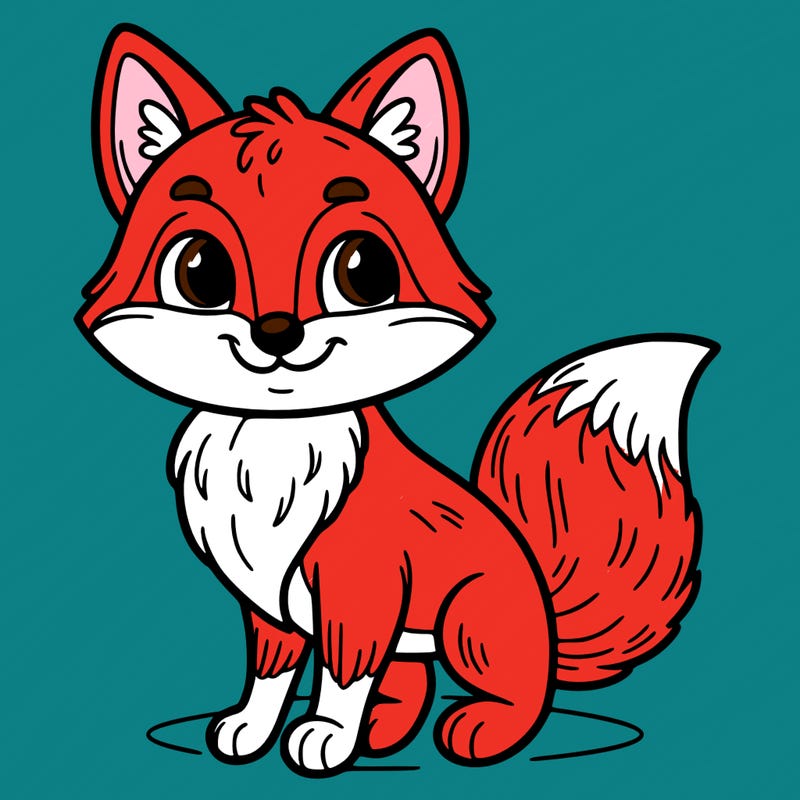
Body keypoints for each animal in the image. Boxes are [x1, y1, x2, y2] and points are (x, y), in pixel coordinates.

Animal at [76, 24, 718, 775]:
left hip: (470, 620)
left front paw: (324, 736)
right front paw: (251, 729)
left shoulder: (361, 588)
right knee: (410, 675)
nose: (276, 333)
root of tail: (545, 603)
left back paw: (476, 730)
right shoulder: (268, 604)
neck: (271, 444)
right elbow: (272, 672)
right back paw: (384, 730)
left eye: (364, 270)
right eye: (199, 271)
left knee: (520, 689)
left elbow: (342, 672)